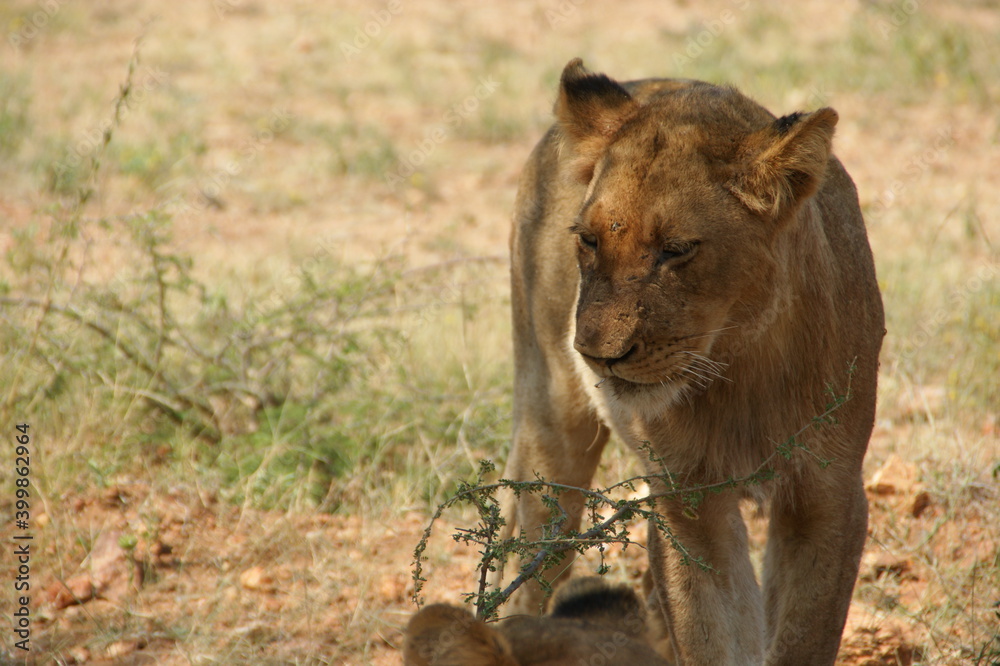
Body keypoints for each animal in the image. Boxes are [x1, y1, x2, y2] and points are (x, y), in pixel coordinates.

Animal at [497, 59, 885, 665]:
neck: (739, 364)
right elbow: (711, 636)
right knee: (530, 568)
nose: (597, 355)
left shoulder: (831, 493)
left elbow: (801, 638)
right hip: (551, 421)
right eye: (588, 239)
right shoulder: (689, 502)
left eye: (676, 250)